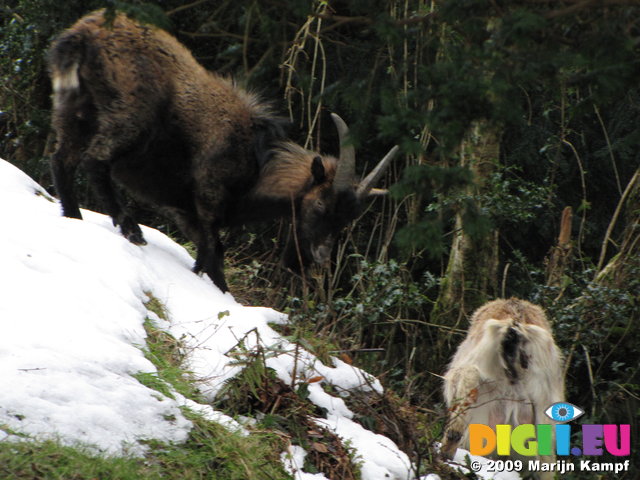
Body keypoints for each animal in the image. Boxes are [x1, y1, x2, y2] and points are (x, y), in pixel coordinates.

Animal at [47, 9, 398, 290]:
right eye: (322, 204)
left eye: (347, 219)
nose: (319, 257)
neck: (257, 162)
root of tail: (86, 34)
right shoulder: (208, 197)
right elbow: (214, 253)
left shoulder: (186, 212)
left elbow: (206, 255)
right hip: (130, 115)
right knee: (95, 161)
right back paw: (131, 229)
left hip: (73, 107)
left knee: (62, 159)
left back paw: (74, 217)